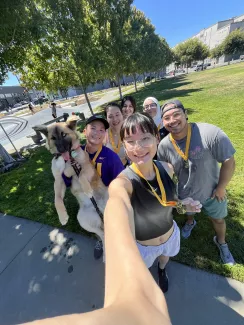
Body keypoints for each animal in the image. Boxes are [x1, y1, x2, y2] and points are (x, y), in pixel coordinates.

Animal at [33, 115, 107, 256]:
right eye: (53, 138)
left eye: (64, 134)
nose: (62, 150)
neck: (66, 160)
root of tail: (99, 211)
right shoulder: (58, 180)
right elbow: (57, 199)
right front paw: (62, 217)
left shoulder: (85, 167)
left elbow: (82, 175)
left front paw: (88, 190)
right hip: (83, 220)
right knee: (102, 233)